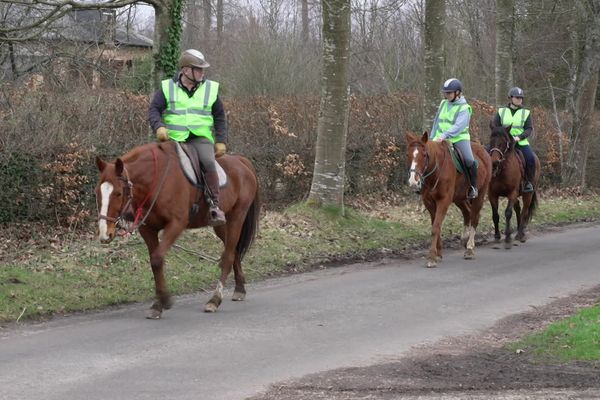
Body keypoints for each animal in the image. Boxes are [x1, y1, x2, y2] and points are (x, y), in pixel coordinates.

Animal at [95, 141, 258, 318]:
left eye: (118, 193)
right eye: (97, 192)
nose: (105, 234)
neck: (157, 179)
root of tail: (241, 161)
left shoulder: (176, 224)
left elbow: (157, 258)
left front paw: (165, 300)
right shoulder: (148, 229)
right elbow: (155, 263)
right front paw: (157, 305)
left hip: (237, 218)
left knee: (228, 256)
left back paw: (214, 300)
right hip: (221, 225)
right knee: (233, 250)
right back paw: (240, 289)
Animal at [404, 132, 492, 268]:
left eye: (424, 155)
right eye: (408, 154)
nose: (413, 181)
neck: (437, 168)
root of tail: (483, 151)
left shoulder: (443, 201)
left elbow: (436, 227)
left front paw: (431, 257)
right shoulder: (429, 203)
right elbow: (436, 226)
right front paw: (438, 254)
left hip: (480, 194)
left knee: (475, 217)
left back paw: (469, 248)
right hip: (459, 198)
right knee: (467, 212)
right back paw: (465, 239)